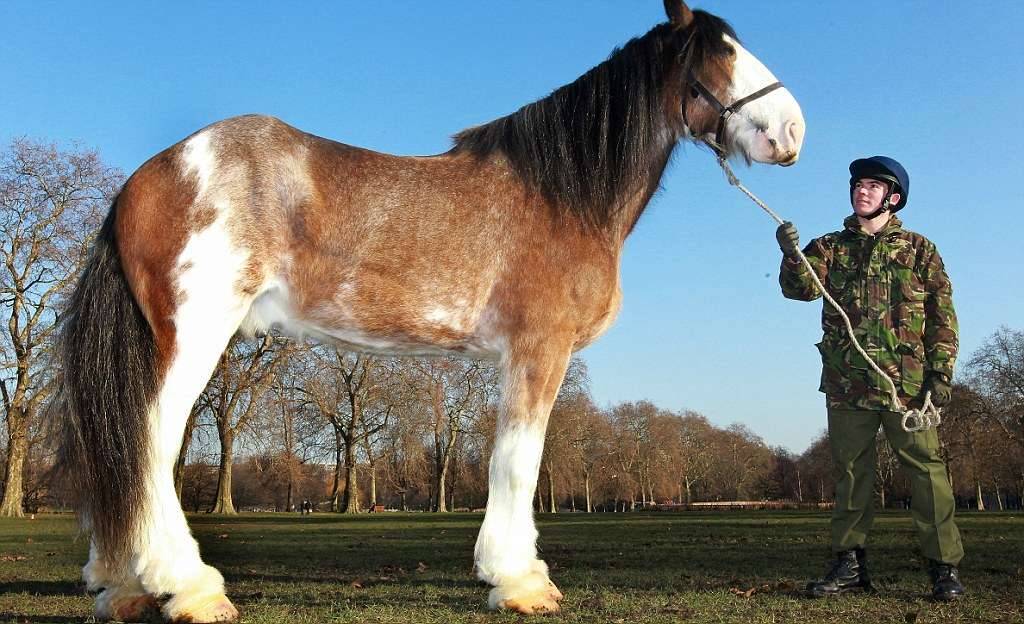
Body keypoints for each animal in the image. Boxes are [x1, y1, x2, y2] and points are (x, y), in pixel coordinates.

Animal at [56, 1, 804, 621]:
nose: (791, 130)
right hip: (193, 336)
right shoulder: (538, 350)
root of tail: (151, 175)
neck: (562, 195)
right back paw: (191, 589)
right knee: (149, 442)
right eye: (723, 53)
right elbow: (518, 461)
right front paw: (518, 581)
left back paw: (121, 588)